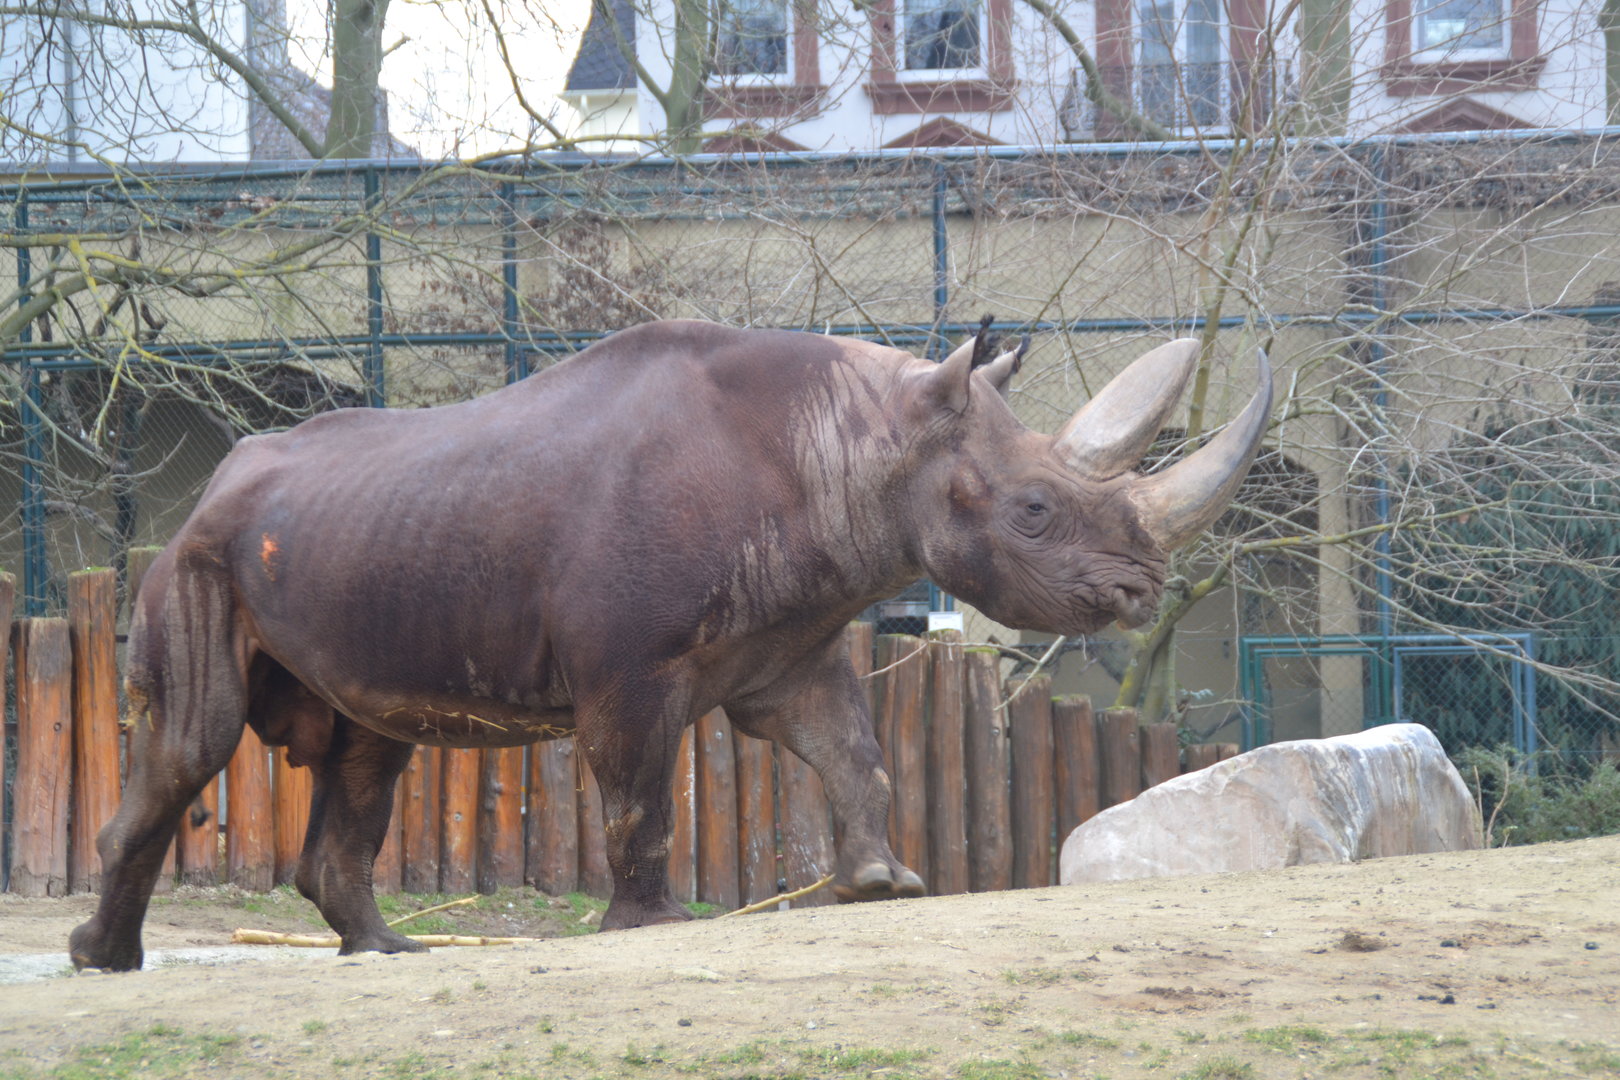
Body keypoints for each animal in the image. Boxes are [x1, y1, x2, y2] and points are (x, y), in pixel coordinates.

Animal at [70, 319, 1269, 971]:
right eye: (1032, 512)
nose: (1140, 588)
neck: (863, 440)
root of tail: (214, 486)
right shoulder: (627, 667)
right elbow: (640, 791)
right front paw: (648, 924)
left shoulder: (793, 640)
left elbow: (854, 751)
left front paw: (883, 885)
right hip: (197, 562)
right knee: (194, 744)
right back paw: (106, 962)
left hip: (343, 548)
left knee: (368, 749)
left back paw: (384, 954)